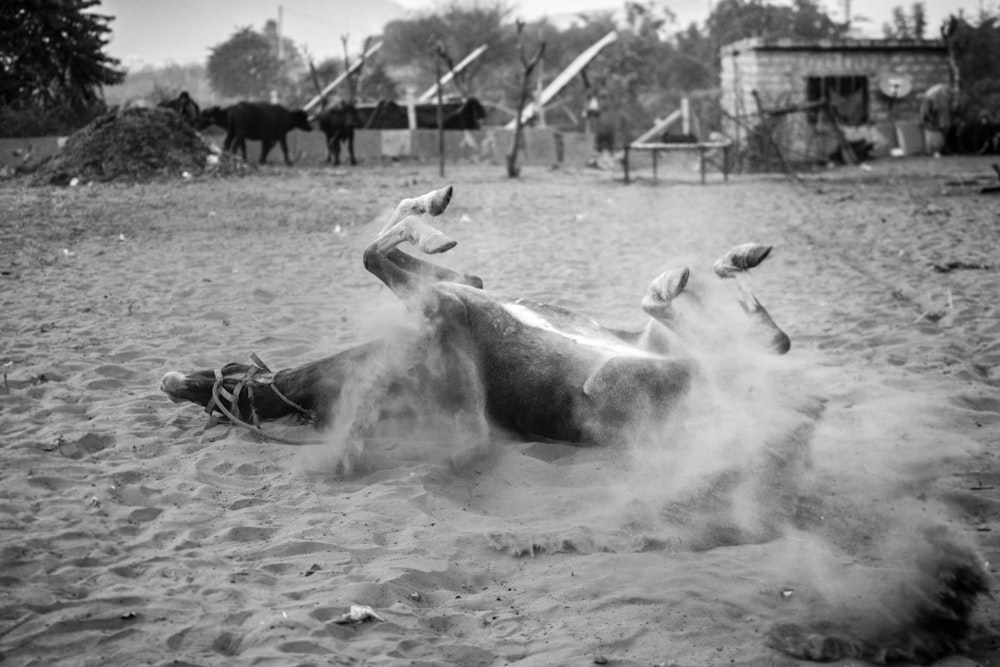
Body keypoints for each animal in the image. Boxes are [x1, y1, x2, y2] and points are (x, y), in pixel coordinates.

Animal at [162, 183, 788, 464]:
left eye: (225, 377)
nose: (170, 382)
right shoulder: (447, 306)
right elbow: (374, 253)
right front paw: (432, 220)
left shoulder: (456, 297)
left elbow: (395, 250)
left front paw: (433, 210)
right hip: (630, 373)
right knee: (747, 341)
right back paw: (707, 272)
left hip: (649, 350)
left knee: (757, 337)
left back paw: (721, 264)